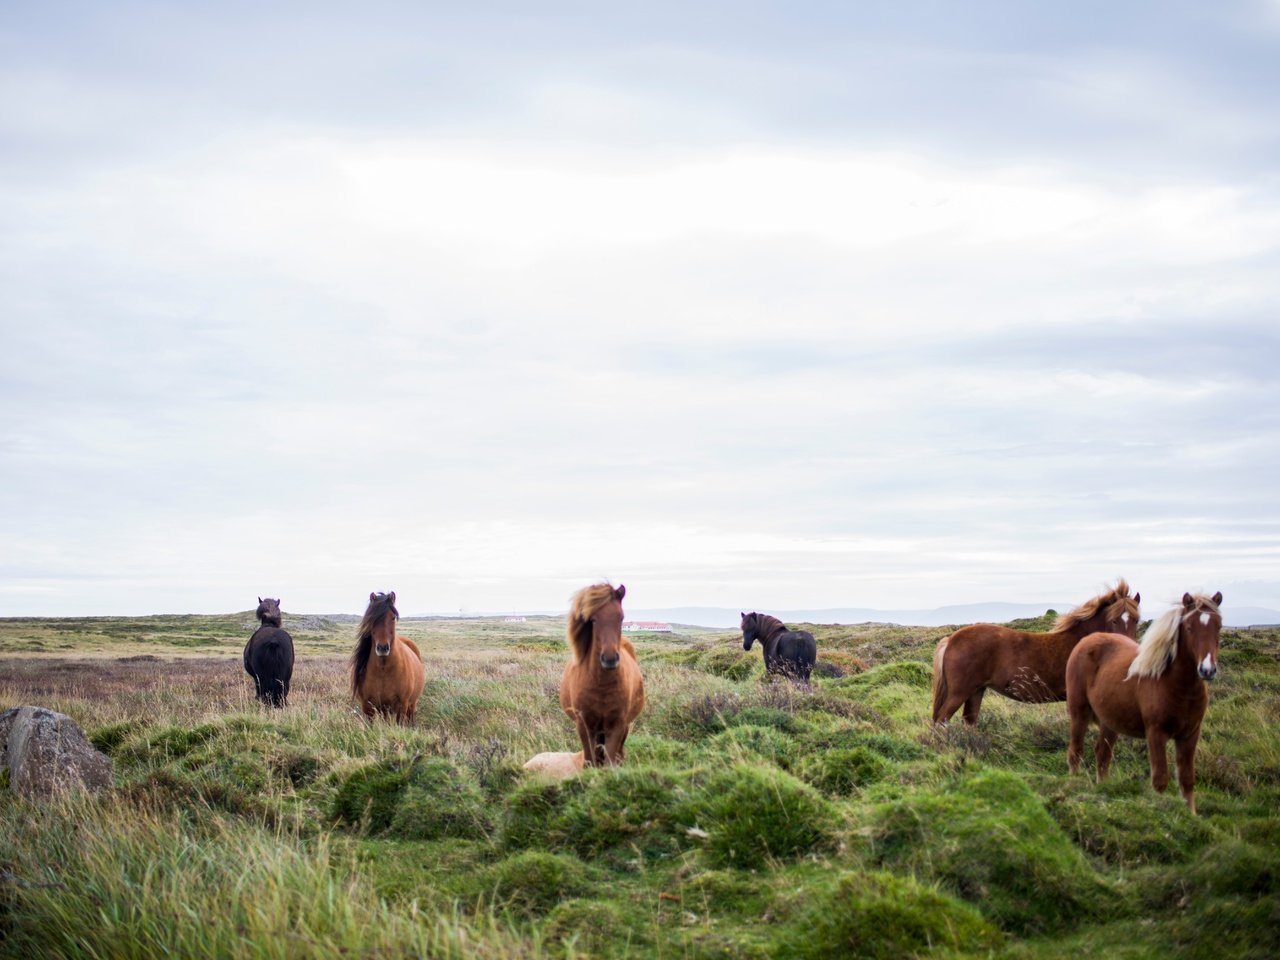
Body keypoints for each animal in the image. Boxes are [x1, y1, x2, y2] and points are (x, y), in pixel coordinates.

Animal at [350, 591, 424, 727]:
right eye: (372, 619)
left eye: (393, 617)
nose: (382, 648)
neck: (383, 670)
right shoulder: (367, 707)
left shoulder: (402, 705)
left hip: (411, 704)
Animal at [560, 583, 645, 773]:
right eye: (593, 619)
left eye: (621, 617)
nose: (610, 659)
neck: (601, 685)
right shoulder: (584, 725)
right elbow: (589, 760)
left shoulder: (617, 725)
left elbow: (609, 762)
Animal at [931, 578, 1141, 727]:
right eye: (1114, 620)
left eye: (1136, 619)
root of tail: (951, 639)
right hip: (960, 692)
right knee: (941, 720)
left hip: (976, 691)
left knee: (968, 722)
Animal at [1064, 591, 1223, 814]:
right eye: (1190, 627)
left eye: (1219, 627)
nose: (1207, 670)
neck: (1177, 686)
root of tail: (1087, 640)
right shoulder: (1156, 733)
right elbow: (1160, 779)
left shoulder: (1190, 735)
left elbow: (1187, 779)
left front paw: (1190, 815)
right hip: (1079, 713)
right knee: (1075, 752)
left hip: (1110, 722)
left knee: (1103, 755)